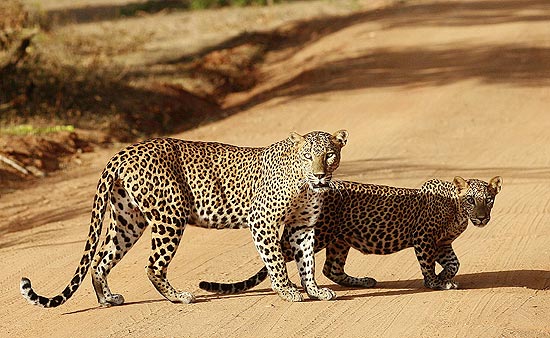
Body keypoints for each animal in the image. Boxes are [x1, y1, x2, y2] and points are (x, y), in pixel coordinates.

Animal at [22, 129, 350, 306]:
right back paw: (178, 297)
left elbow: (307, 261)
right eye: (307, 156)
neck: (304, 184)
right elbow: (276, 261)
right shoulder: (263, 221)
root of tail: (123, 152)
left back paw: (107, 299)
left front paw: (314, 290)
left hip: (128, 220)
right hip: (169, 215)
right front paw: (287, 291)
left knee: (101, 259)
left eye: (329, 155)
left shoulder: (302, 226)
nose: (319, 175)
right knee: (152, 265)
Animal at [199, 177, 504, 294]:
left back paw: (362, 281)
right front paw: (435, 282)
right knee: (278, 254)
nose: (481, 217)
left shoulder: (442, 243)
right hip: (319, 235)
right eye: (471, 200)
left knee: (331, 268)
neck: (457, 212)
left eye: (489, 200)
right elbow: (427, 265)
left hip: (339, 239)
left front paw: (445, 277)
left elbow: (454, 263)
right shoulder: (425, 239)